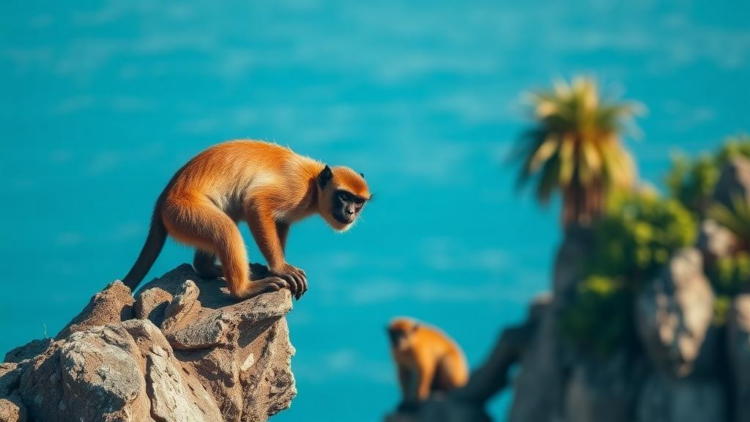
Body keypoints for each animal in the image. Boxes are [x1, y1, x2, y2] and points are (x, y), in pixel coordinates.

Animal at [122, 140, 371, 300]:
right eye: (344, 197)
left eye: (358, 202)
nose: (350, 212)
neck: (314, 182)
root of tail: (164, 197)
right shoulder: (296, 189)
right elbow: (256, 204)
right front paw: (280, 268)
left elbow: (280, 221)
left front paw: (274, 267)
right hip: (182, 211)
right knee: (225, 228)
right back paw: (243, 290)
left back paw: (209, 269)